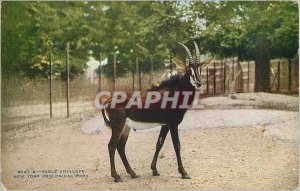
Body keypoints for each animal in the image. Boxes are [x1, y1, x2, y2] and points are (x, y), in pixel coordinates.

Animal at [102, 41, 205, 181]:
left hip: (126, 127)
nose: (199, 82)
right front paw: (184, 173)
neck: (175, 91)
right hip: (118, 125)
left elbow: (159, 143)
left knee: (121, 146)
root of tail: (108, 100)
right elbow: (177, 145)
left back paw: (133, 173)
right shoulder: (173, 124)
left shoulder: (165, 125)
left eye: (200, 68)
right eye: (189, 69)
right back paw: (116, 176)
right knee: (112, 145)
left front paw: (154, 170)